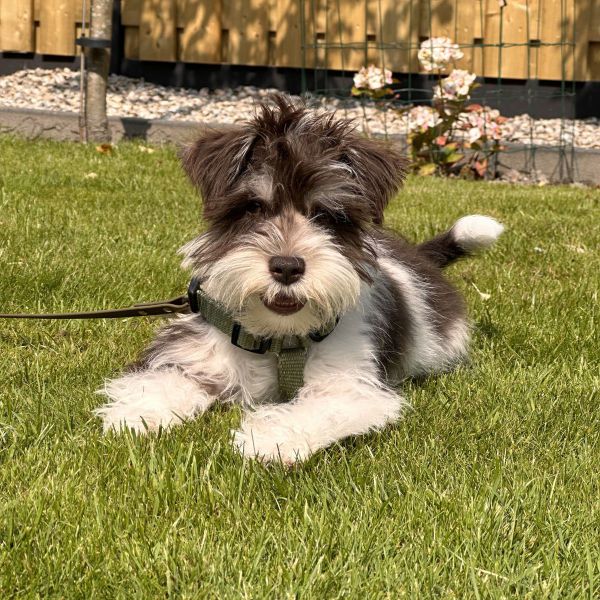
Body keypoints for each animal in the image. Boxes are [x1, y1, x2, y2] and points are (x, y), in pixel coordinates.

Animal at [96, 94, 504, 464]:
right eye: (254, 207)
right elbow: (169, 375)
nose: (287, 267)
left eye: (325, 215)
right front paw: (140, 412)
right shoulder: (201, 349)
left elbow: (323, 407)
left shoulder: (349, 380)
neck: (279, 339)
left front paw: (270, 438)